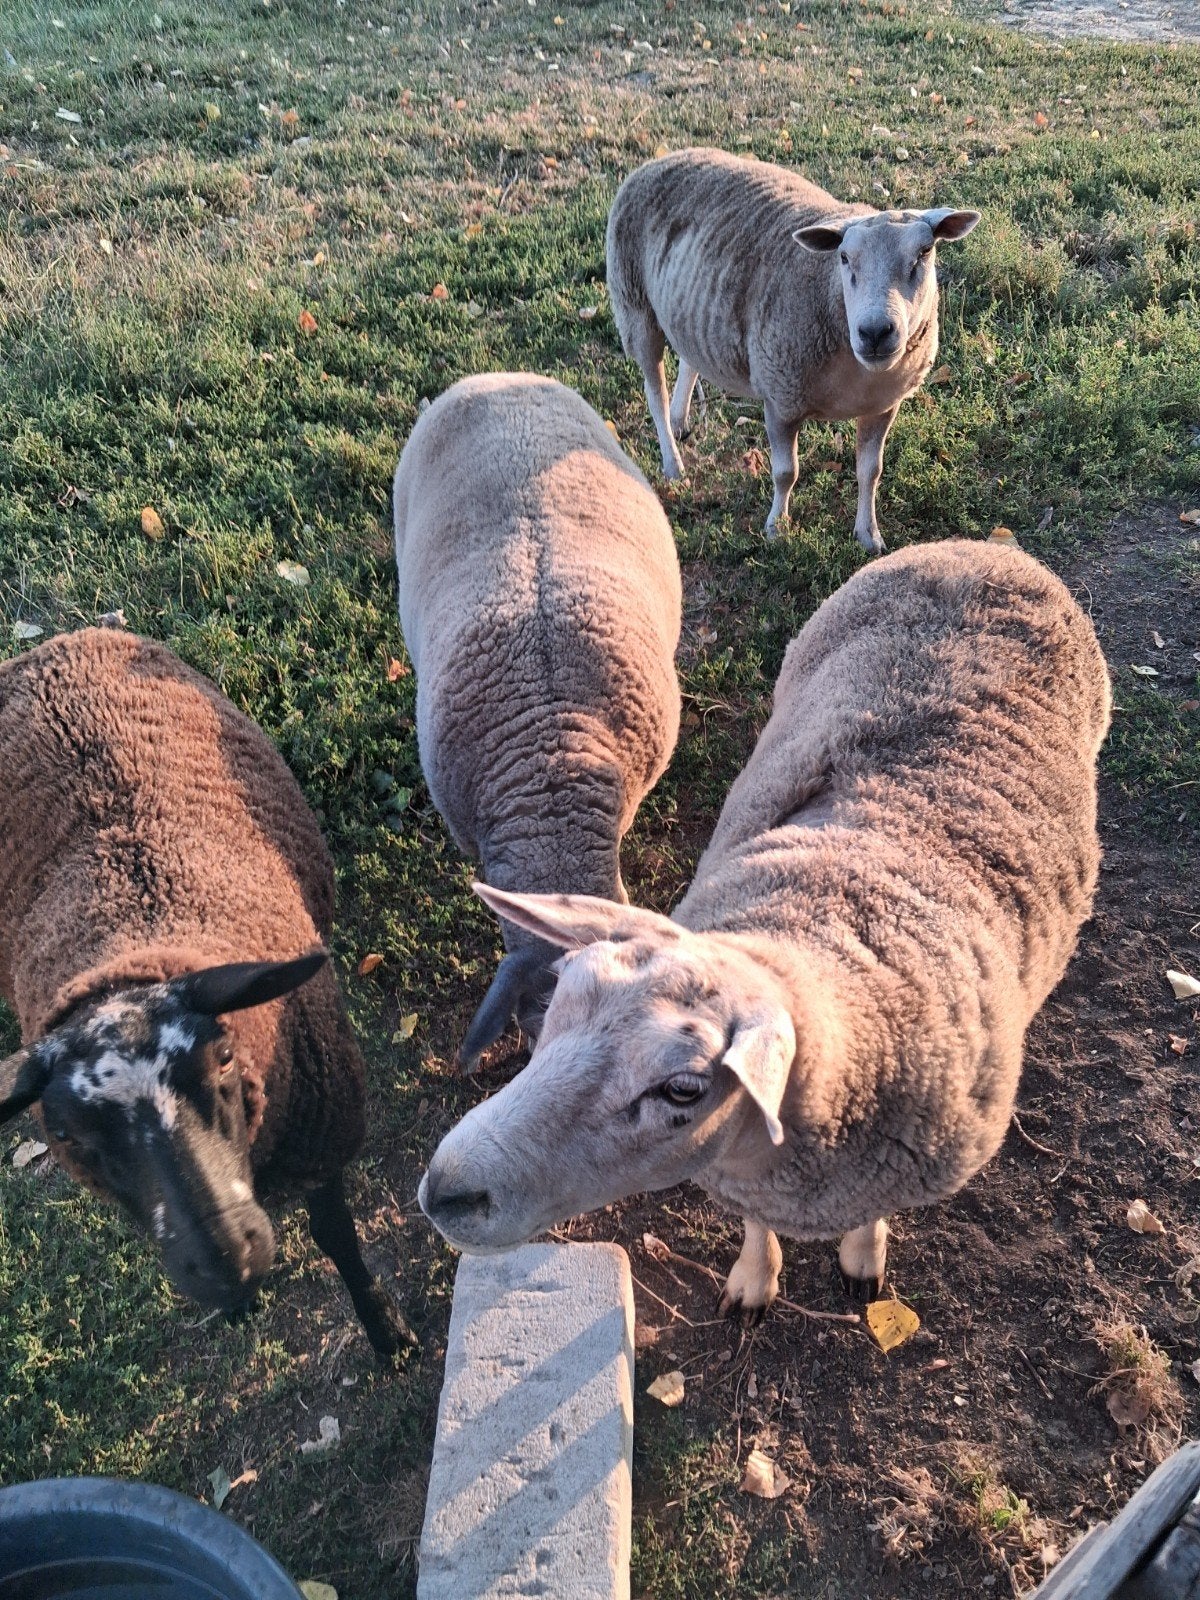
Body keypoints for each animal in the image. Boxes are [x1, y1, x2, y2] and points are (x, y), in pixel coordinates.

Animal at [0, 626, 415, 1359]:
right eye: (67, 1135)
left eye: (223, 1059)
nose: (229, 1262)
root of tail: (55, 642)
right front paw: (240, 1304)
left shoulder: (320, 1142)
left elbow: (337, 1237)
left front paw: (387, 1331)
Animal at [418, 540, 1111, 1322]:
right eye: (553, 1009)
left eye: (683, 1091)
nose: (447, 1191)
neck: (814, 939)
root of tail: (983, 547)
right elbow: (753, 1224)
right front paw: (755, 1278)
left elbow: (867, 1219)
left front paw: (862, 1258)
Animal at [606, 147, 980, 551]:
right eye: (844, 258)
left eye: (924, 252)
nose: (875, 332)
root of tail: (667, 157)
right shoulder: (780, 397)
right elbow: (786, 472)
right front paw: (777, 527)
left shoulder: (883, 406)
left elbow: (871, 472)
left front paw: (868, 535)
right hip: (634, 305)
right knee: (653, 391)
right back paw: (673, 462)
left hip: (690, 309)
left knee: (691, 358)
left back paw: (679, 422)